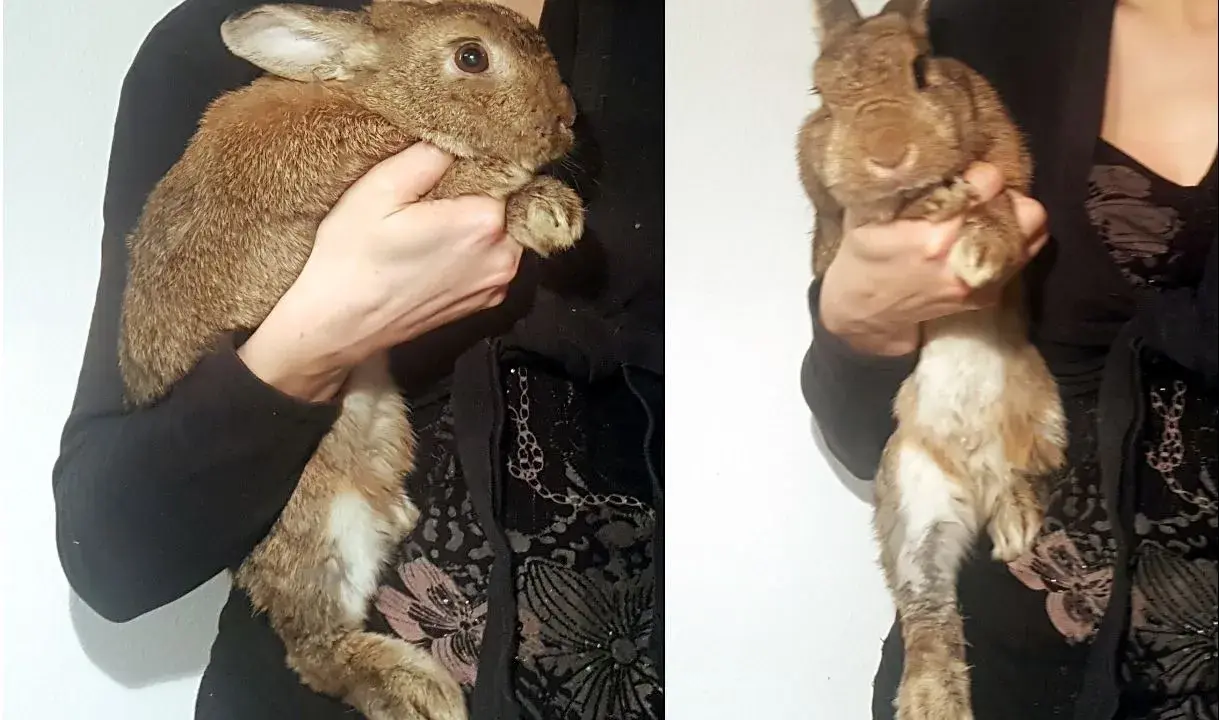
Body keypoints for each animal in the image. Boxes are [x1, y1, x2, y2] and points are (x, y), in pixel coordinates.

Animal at [117, 2, 584, 718]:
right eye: (471, 57)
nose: (566, 119)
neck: (374, 96)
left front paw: (549, 211)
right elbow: (470, 184)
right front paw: (544, 205)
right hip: (316, 530)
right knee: (316, 652)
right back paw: (422, 692)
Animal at [796, 0, 1067, 718]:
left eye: (921, 71)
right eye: (822, 97)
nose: (888, 152)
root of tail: (976, 475)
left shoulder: (1012, 172)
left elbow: (996, 201)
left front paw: (972, 241)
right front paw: (931, 203)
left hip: (1042, 417)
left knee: (1023, 479)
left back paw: (1017, 527)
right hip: (913, 506)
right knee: (928, 613)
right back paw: (928, 700)